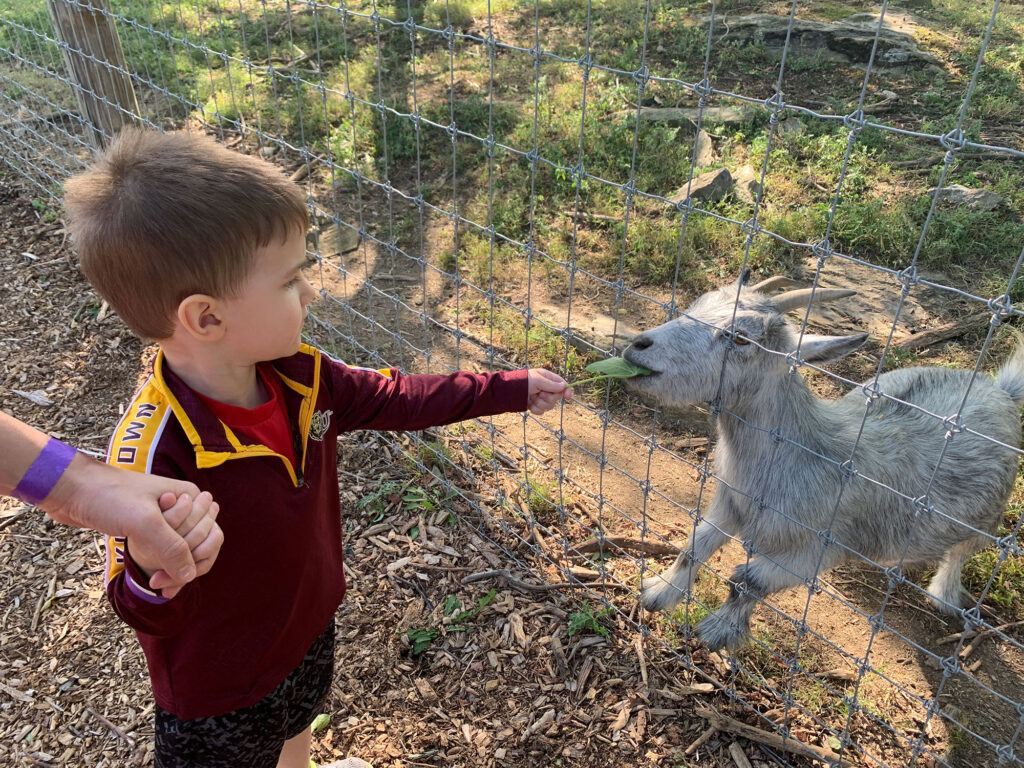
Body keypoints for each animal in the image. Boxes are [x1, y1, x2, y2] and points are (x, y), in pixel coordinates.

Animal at [622, 274, 1024, 651]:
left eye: (741, 339)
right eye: (697, 305)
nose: (638, 346)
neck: (799, 454)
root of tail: (1000, 390)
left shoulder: (820, 548)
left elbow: (747, 580)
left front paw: (718, 632)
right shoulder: (732, 502)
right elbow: (695, 544)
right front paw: (658, 592)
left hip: (987, 516)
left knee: (962, 551)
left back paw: (943, 594)